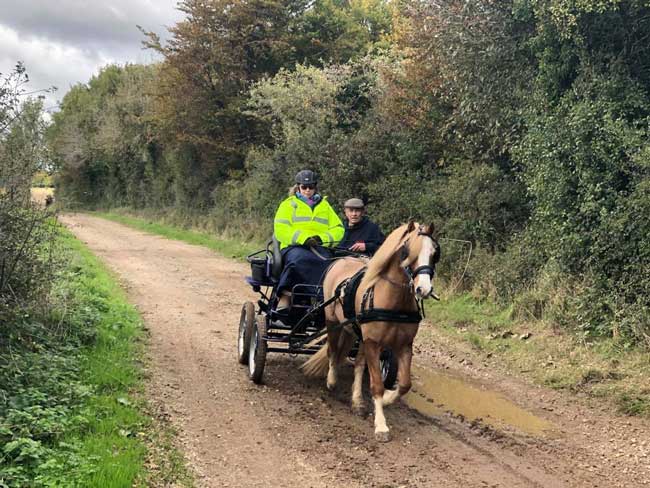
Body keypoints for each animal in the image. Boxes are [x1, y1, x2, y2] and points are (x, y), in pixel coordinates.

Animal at [302, 221, 438, 442]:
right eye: (407, 251)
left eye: (434, 252)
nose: (423, 289)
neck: (393, 302)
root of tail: (341, 259)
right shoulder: (373, 342)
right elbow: (377, 385)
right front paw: (381, 425)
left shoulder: (403, 345)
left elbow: (404, 384)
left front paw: (388, 399)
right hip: (333, 322)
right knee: (333, 351)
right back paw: (331, 380)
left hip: (356, 332)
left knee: (357, 364)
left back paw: (357, 400)